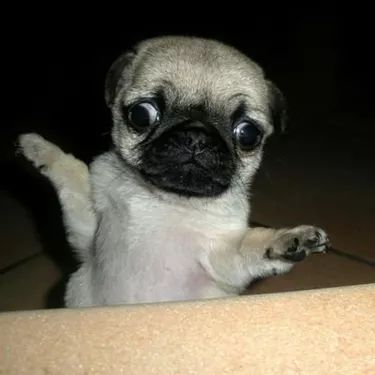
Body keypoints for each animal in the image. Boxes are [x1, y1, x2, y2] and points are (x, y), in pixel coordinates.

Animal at [18, 36, 328, 308]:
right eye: (142, 114)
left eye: (248, 134)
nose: (197, 136)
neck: (165, 201)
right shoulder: (87, 230)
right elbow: (72, 173)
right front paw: (39, 149)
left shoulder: (220, 255)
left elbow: (248, 246)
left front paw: (287, 240)